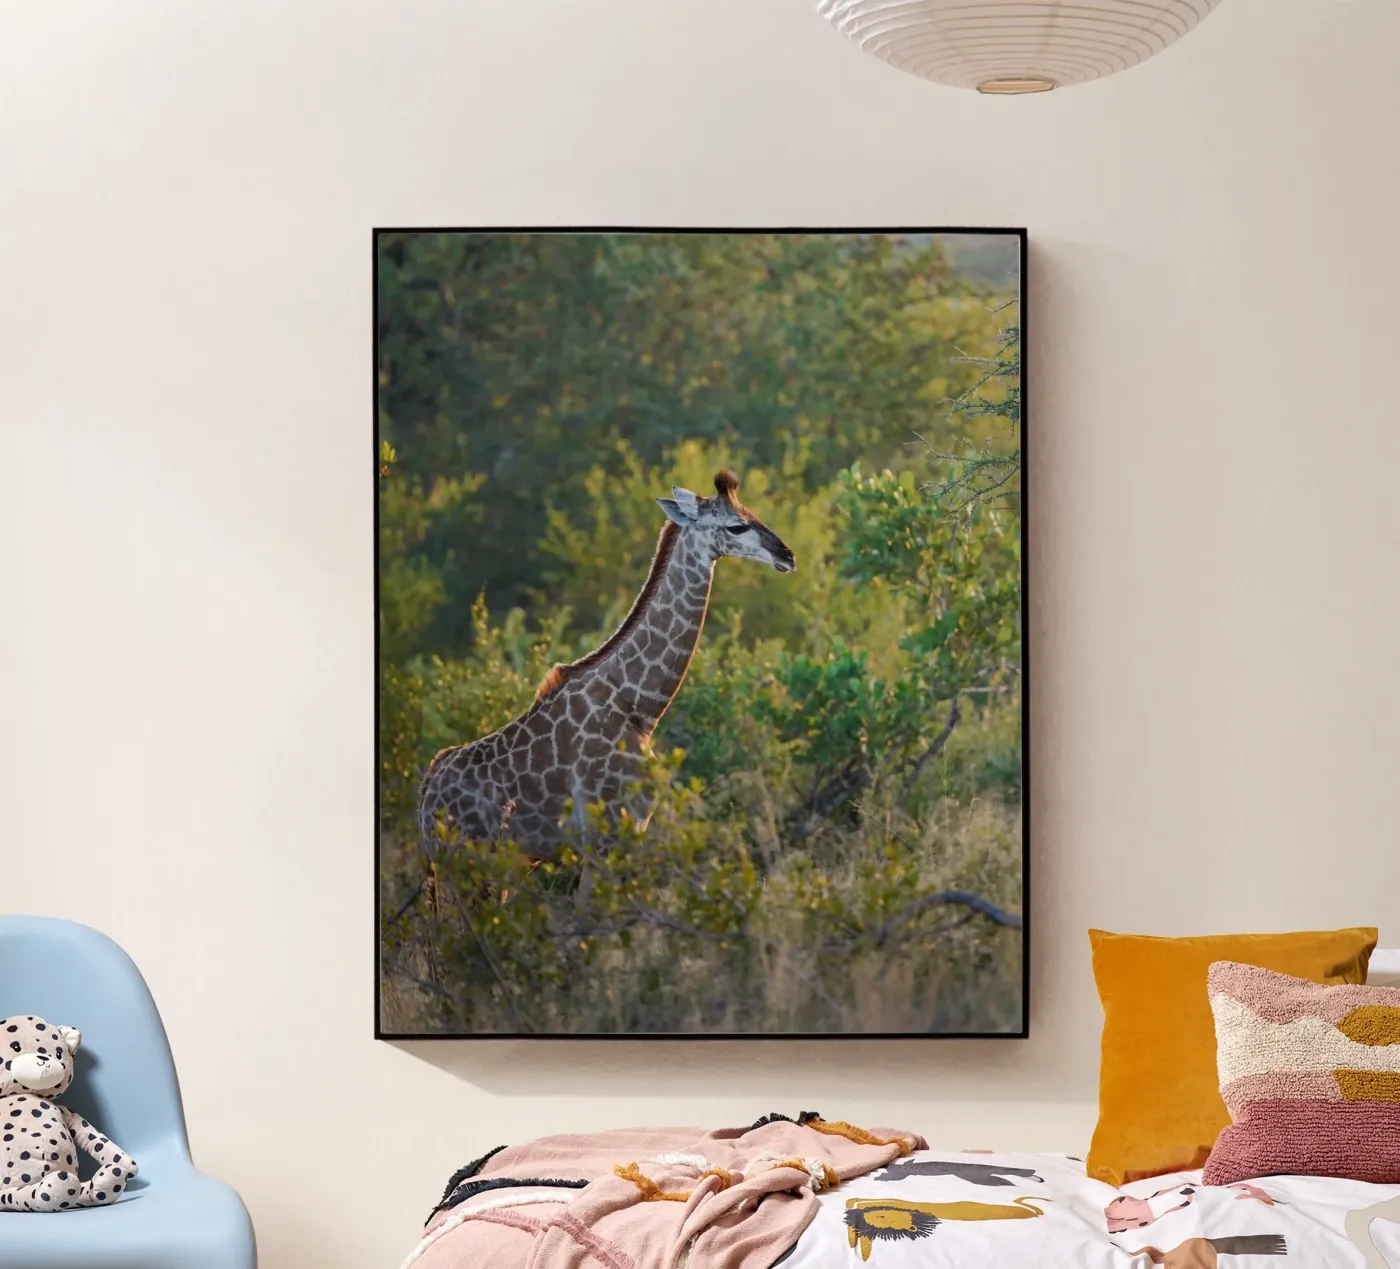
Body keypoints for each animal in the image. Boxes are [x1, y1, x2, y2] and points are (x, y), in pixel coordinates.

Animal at [417, 469, 795, 858]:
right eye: (736, 526)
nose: (788, 555)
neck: (640, 706)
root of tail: (425, 799)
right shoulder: (604, 831)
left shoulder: (630, 827)